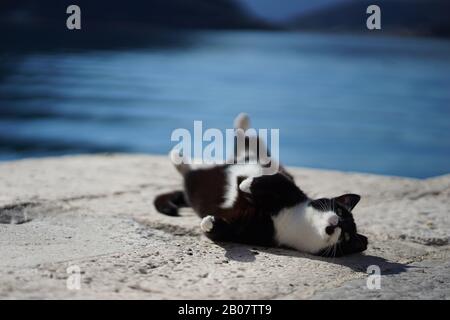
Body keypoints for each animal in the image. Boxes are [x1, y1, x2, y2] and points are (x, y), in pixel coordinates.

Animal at [153, 114, 368, 256]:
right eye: (340, 211)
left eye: (346, 238)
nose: (337, 223)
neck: (296, 222)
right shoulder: (290, 188)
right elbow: (274, 181)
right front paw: (246, 184)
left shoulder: (253, 232)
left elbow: (223, 232)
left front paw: (209, 222)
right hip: (250, 154)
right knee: (250, 141)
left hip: (197, 182)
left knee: (190, 173)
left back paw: (180, 160)